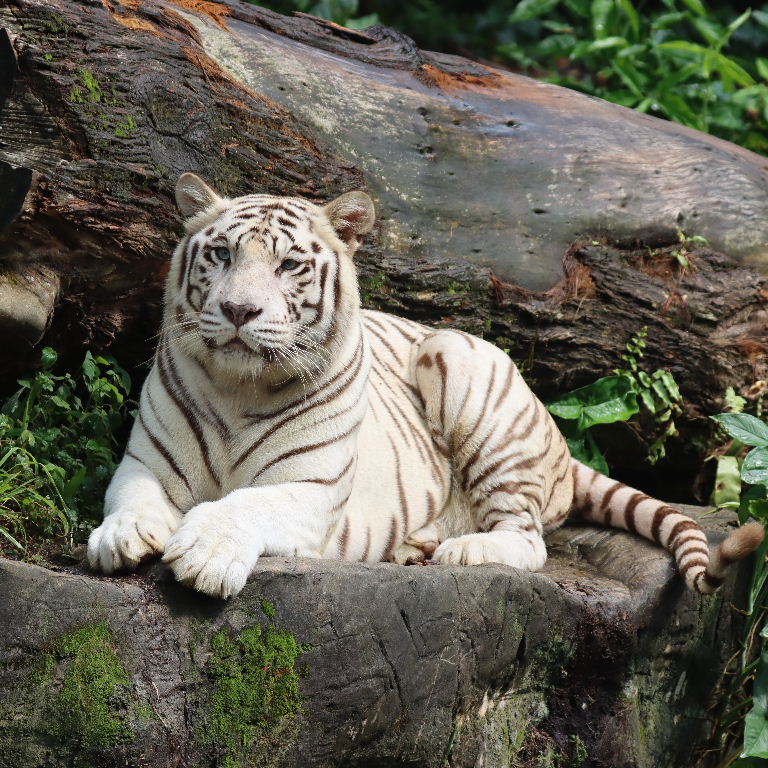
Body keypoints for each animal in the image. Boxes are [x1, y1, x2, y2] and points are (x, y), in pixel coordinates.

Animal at [86, 173, 764, 599]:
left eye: (289, 265)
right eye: (222, 255)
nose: (237, 311)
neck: (239, 387)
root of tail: (559, 445)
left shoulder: (311, 489)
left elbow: (245, 503)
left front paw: (205, 554)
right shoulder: (143, 461)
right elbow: (133, 498)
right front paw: (122, 539)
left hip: (460, 359)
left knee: (529, 541)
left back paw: (461, 551)